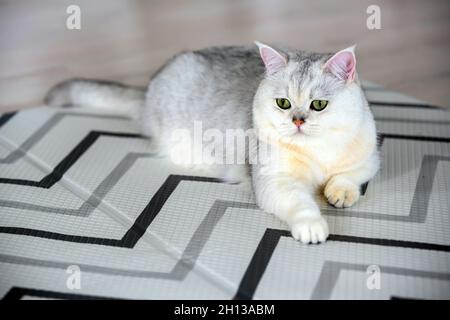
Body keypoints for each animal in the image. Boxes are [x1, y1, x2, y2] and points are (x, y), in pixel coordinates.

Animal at [45, 42, 378, 242]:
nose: (297, 120)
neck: (319, 151)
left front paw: (340, 192)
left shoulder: (371, 158)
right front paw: (312, 225)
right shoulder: (275, 182)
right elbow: (301, 203)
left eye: (318, 105)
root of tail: (148, 90)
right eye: (283, 103)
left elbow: (349, 177)